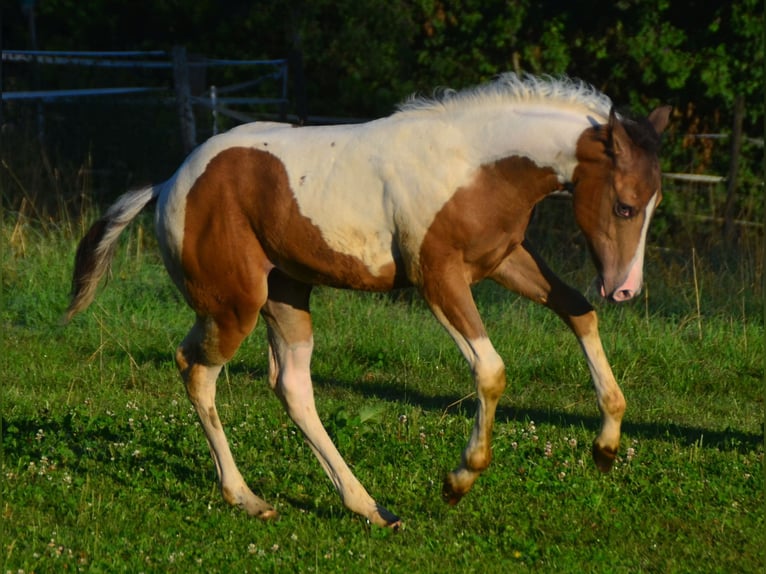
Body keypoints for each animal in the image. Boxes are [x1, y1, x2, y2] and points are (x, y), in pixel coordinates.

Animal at [66, 73, 671, 528]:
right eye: (623, 206)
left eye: (653, 203)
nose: (625, 288)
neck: (472, 164)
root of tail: (169, 183)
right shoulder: (438, 279)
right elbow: (491, 370)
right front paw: (459, 480)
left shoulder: (504, 259)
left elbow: (578, 311)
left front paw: (606, 446)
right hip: (234, 304)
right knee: (196, 369)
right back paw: (249, 499)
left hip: (285, 295)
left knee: (290, 385)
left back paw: (367, 506)